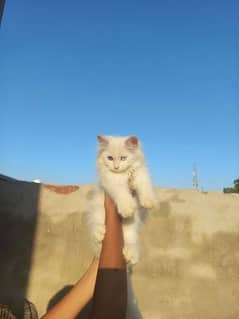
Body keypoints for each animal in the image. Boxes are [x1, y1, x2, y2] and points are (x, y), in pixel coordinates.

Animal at [87, 135, 159, 264]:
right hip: (97, 210)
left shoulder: (141, 175)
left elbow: (145, 188)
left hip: (131, 225)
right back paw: (99, 234)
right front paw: (127, 209)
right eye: (110, 158)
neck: (123, 174)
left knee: (130, 239)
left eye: (123, 158)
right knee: (95, 228)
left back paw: (131, 256)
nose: (116, 167)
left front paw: (149, 202)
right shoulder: (113, 184)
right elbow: (122, 194)